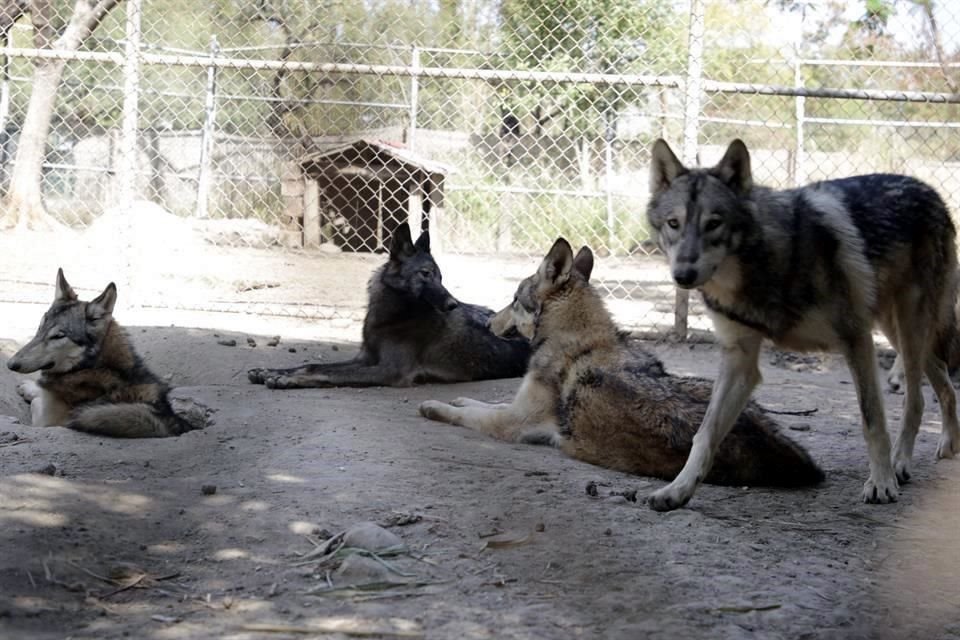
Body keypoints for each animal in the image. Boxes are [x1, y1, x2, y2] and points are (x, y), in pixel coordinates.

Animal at [7, 268, 199, 438]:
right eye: (40, 328)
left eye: (58, 336)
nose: (11, 364)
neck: (94, 367)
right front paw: (28, 386)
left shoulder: (46, 420)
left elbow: (37, 400)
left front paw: (30, 389)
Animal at [246, 222, 532, 388]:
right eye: (426, 274)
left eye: (441, 277)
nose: (452, 304)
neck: (391, 319)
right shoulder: (364, 359)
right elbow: (314, 365)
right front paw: (270, 370)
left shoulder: (389, 372)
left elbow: (327, 373)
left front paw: (289, 378)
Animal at [420, 238, 824, 488]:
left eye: (514, 300)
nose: (488, 321)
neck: (573, 337)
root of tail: (799, 460)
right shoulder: (514, 409)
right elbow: (480, 402)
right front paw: (460, 398)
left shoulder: (513, 424)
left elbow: (468, 413)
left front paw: (434, 406)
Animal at [644, 139, 960, 510]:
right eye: (673, 223)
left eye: (714, 223)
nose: (683, 275)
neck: (762, 263)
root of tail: (930, 190)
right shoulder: (740, 359)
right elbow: (705, 433)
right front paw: (678, 489)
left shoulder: (856, 340)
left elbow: (872, 420)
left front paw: (881, 483)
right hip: (896, 330)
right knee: (942, 380)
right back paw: (949, 444)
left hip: (908, 329)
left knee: (916, 399)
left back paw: (900, 463)